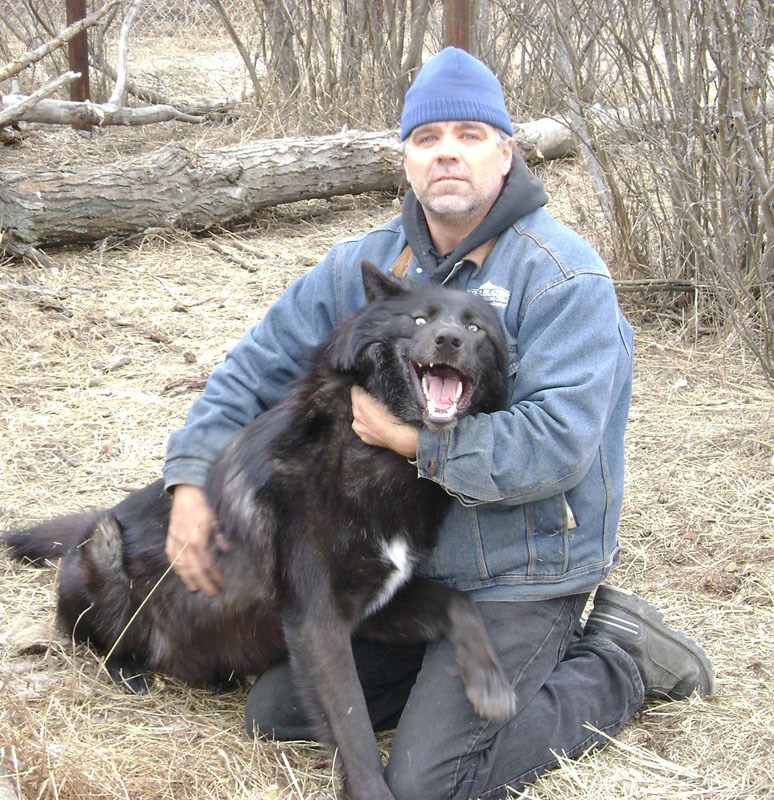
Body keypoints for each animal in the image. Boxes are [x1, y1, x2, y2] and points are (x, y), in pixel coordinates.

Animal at [6, 262, 520, 800]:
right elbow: (353, 724)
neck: (376, 459)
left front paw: (489, 681)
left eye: (476, 328)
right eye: (420, 319)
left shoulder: (373, 606)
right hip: (104, 543)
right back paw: (132, 670)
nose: (448, 340)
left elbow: (458, 604)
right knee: (99, 642)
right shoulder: (317, 620)